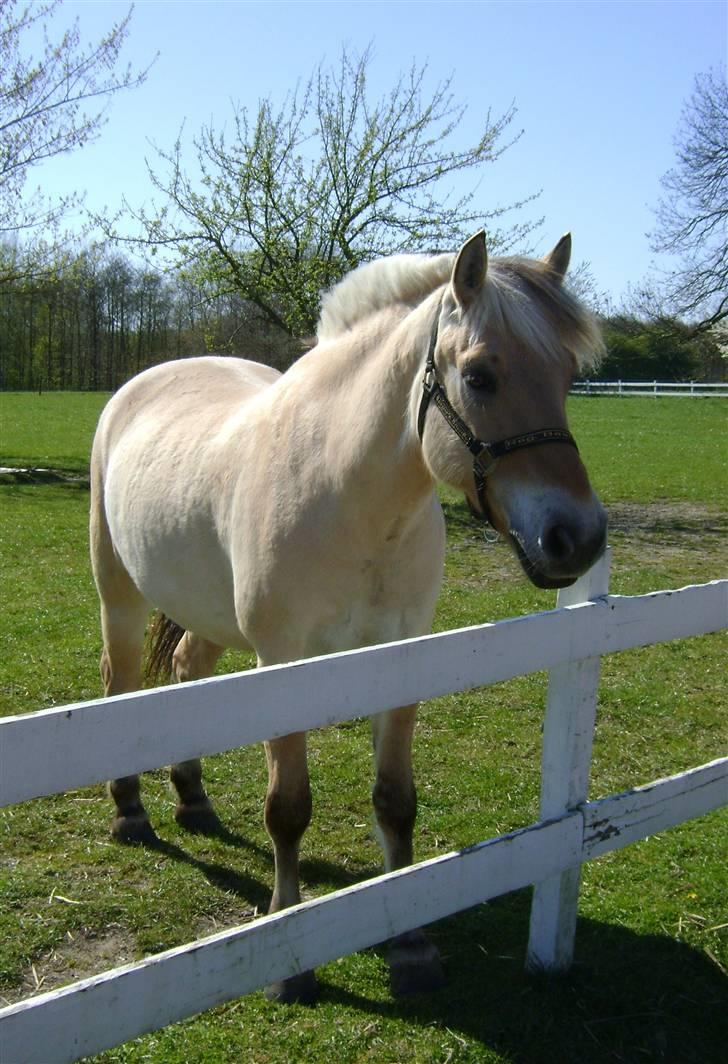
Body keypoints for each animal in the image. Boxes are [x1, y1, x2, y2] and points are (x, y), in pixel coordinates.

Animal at [91, 228, 608, 1000]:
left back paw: (194, 799)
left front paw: (411, 945)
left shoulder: (400, 658)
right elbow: (287, 809)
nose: (578, 537)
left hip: (206, 615)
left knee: (187, 670)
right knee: (119, 685)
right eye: (480, 376)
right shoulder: (283, 665)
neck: (346, 492)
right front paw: (289, 958)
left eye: (569, 376)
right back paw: (131, 809)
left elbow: (396, 800)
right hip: (119, 596)